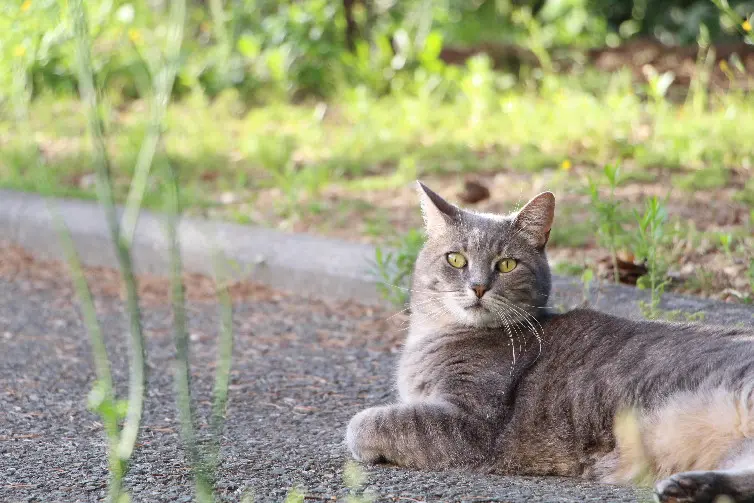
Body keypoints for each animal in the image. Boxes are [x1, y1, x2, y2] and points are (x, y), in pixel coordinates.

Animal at [346, 183, 752, 503]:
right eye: (456, 259)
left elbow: (367, 422)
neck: (434, 336)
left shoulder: (472, 424)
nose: (478, 287)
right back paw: (690, 487)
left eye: (507, 265)